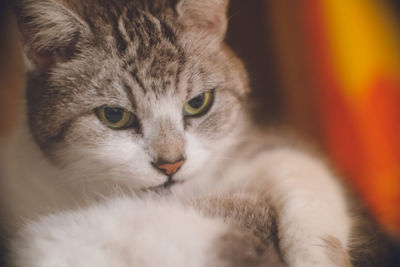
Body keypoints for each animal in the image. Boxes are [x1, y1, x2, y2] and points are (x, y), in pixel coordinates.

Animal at [1, 0, 398, 266]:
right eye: (114, 116)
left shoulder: (252, 149)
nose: (171, 164)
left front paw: (316, 254)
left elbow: (296, 166)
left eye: (198, 103)